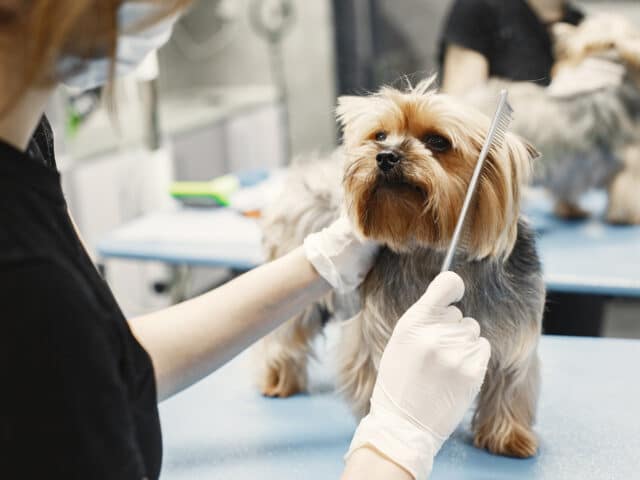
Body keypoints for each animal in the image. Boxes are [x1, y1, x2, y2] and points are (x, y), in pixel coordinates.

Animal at [258, 79, 544, 458]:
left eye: (438, 141)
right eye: (380, 135)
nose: (385, 156)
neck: (432, 250)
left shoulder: (515, 332)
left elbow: (511, 380)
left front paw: (508, 436)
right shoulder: (382, 327)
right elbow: (379, 369)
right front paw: (387, 417)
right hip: (293, 289)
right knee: (284, 335)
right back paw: (278, 380)